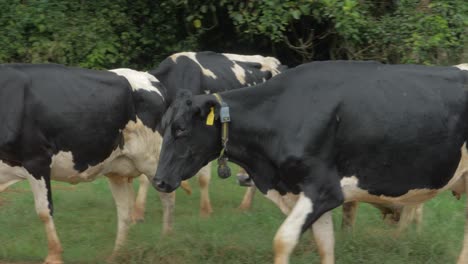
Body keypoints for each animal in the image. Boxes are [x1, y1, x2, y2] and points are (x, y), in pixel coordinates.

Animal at [0, 64, 166, 264]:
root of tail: (149, 76)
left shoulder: (37, 160)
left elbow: (44, 211)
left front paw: (54, 256)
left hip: (154, 159)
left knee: (167, 194)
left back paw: (166, 239)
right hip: (119, 167)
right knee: (125, 210)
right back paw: (118, 254)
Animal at [153, 61, 468, 264]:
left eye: (181, 129)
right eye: (164, 126)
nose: (159, 180)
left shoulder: (324, 189)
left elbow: (283, 240)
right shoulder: (308, 192)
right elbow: (325, 247)